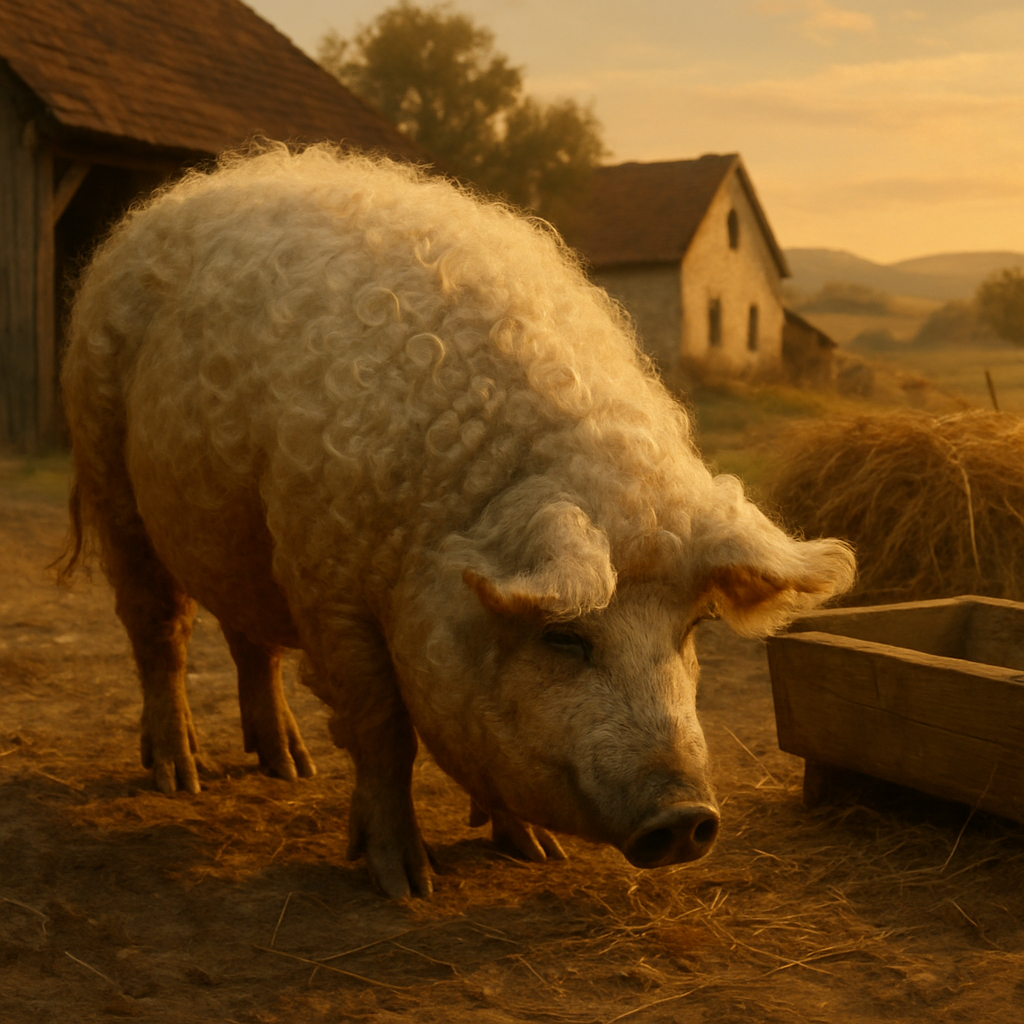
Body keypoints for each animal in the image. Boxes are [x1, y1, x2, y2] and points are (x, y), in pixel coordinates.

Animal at [59, 143, 855, 897]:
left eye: (691, 629)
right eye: (565, 638)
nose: (688, 817)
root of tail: (187, 190)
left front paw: (536, 850)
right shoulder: (327, 588)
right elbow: (383, 730)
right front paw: (406, 884)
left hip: (232, 532)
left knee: (247, 637)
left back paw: (289, 767)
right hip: (110, 474)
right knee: (160, 631)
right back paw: (179, 776)